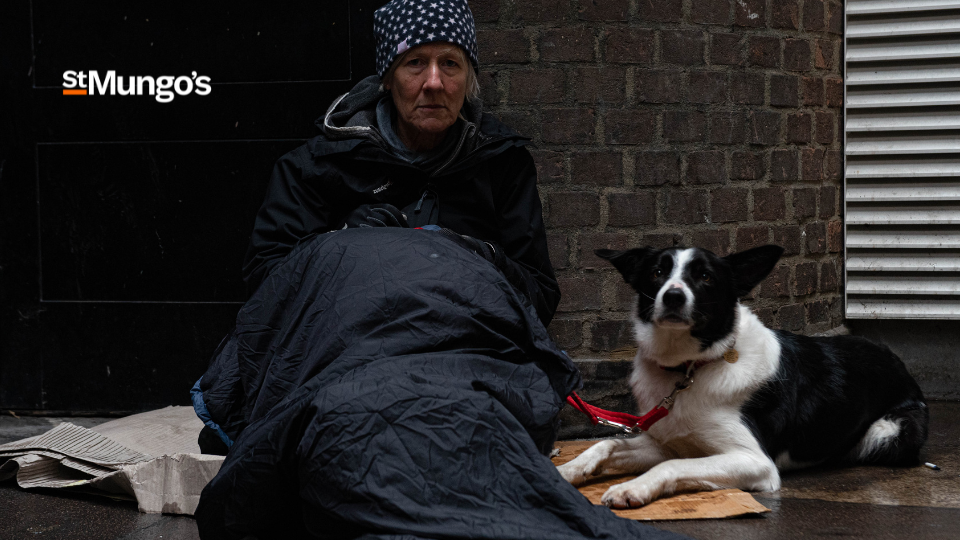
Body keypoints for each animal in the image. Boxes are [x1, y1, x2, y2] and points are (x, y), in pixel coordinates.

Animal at [560, 247, 928, 508]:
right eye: (658, 272)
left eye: (705, 276)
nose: (673, 295)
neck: (692, 367)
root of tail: (896, 359)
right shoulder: (670, 442)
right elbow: (607, 443)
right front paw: (567, 470)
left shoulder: (754, 461)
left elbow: (671, 466)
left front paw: (632, 487)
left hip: (892, 432)